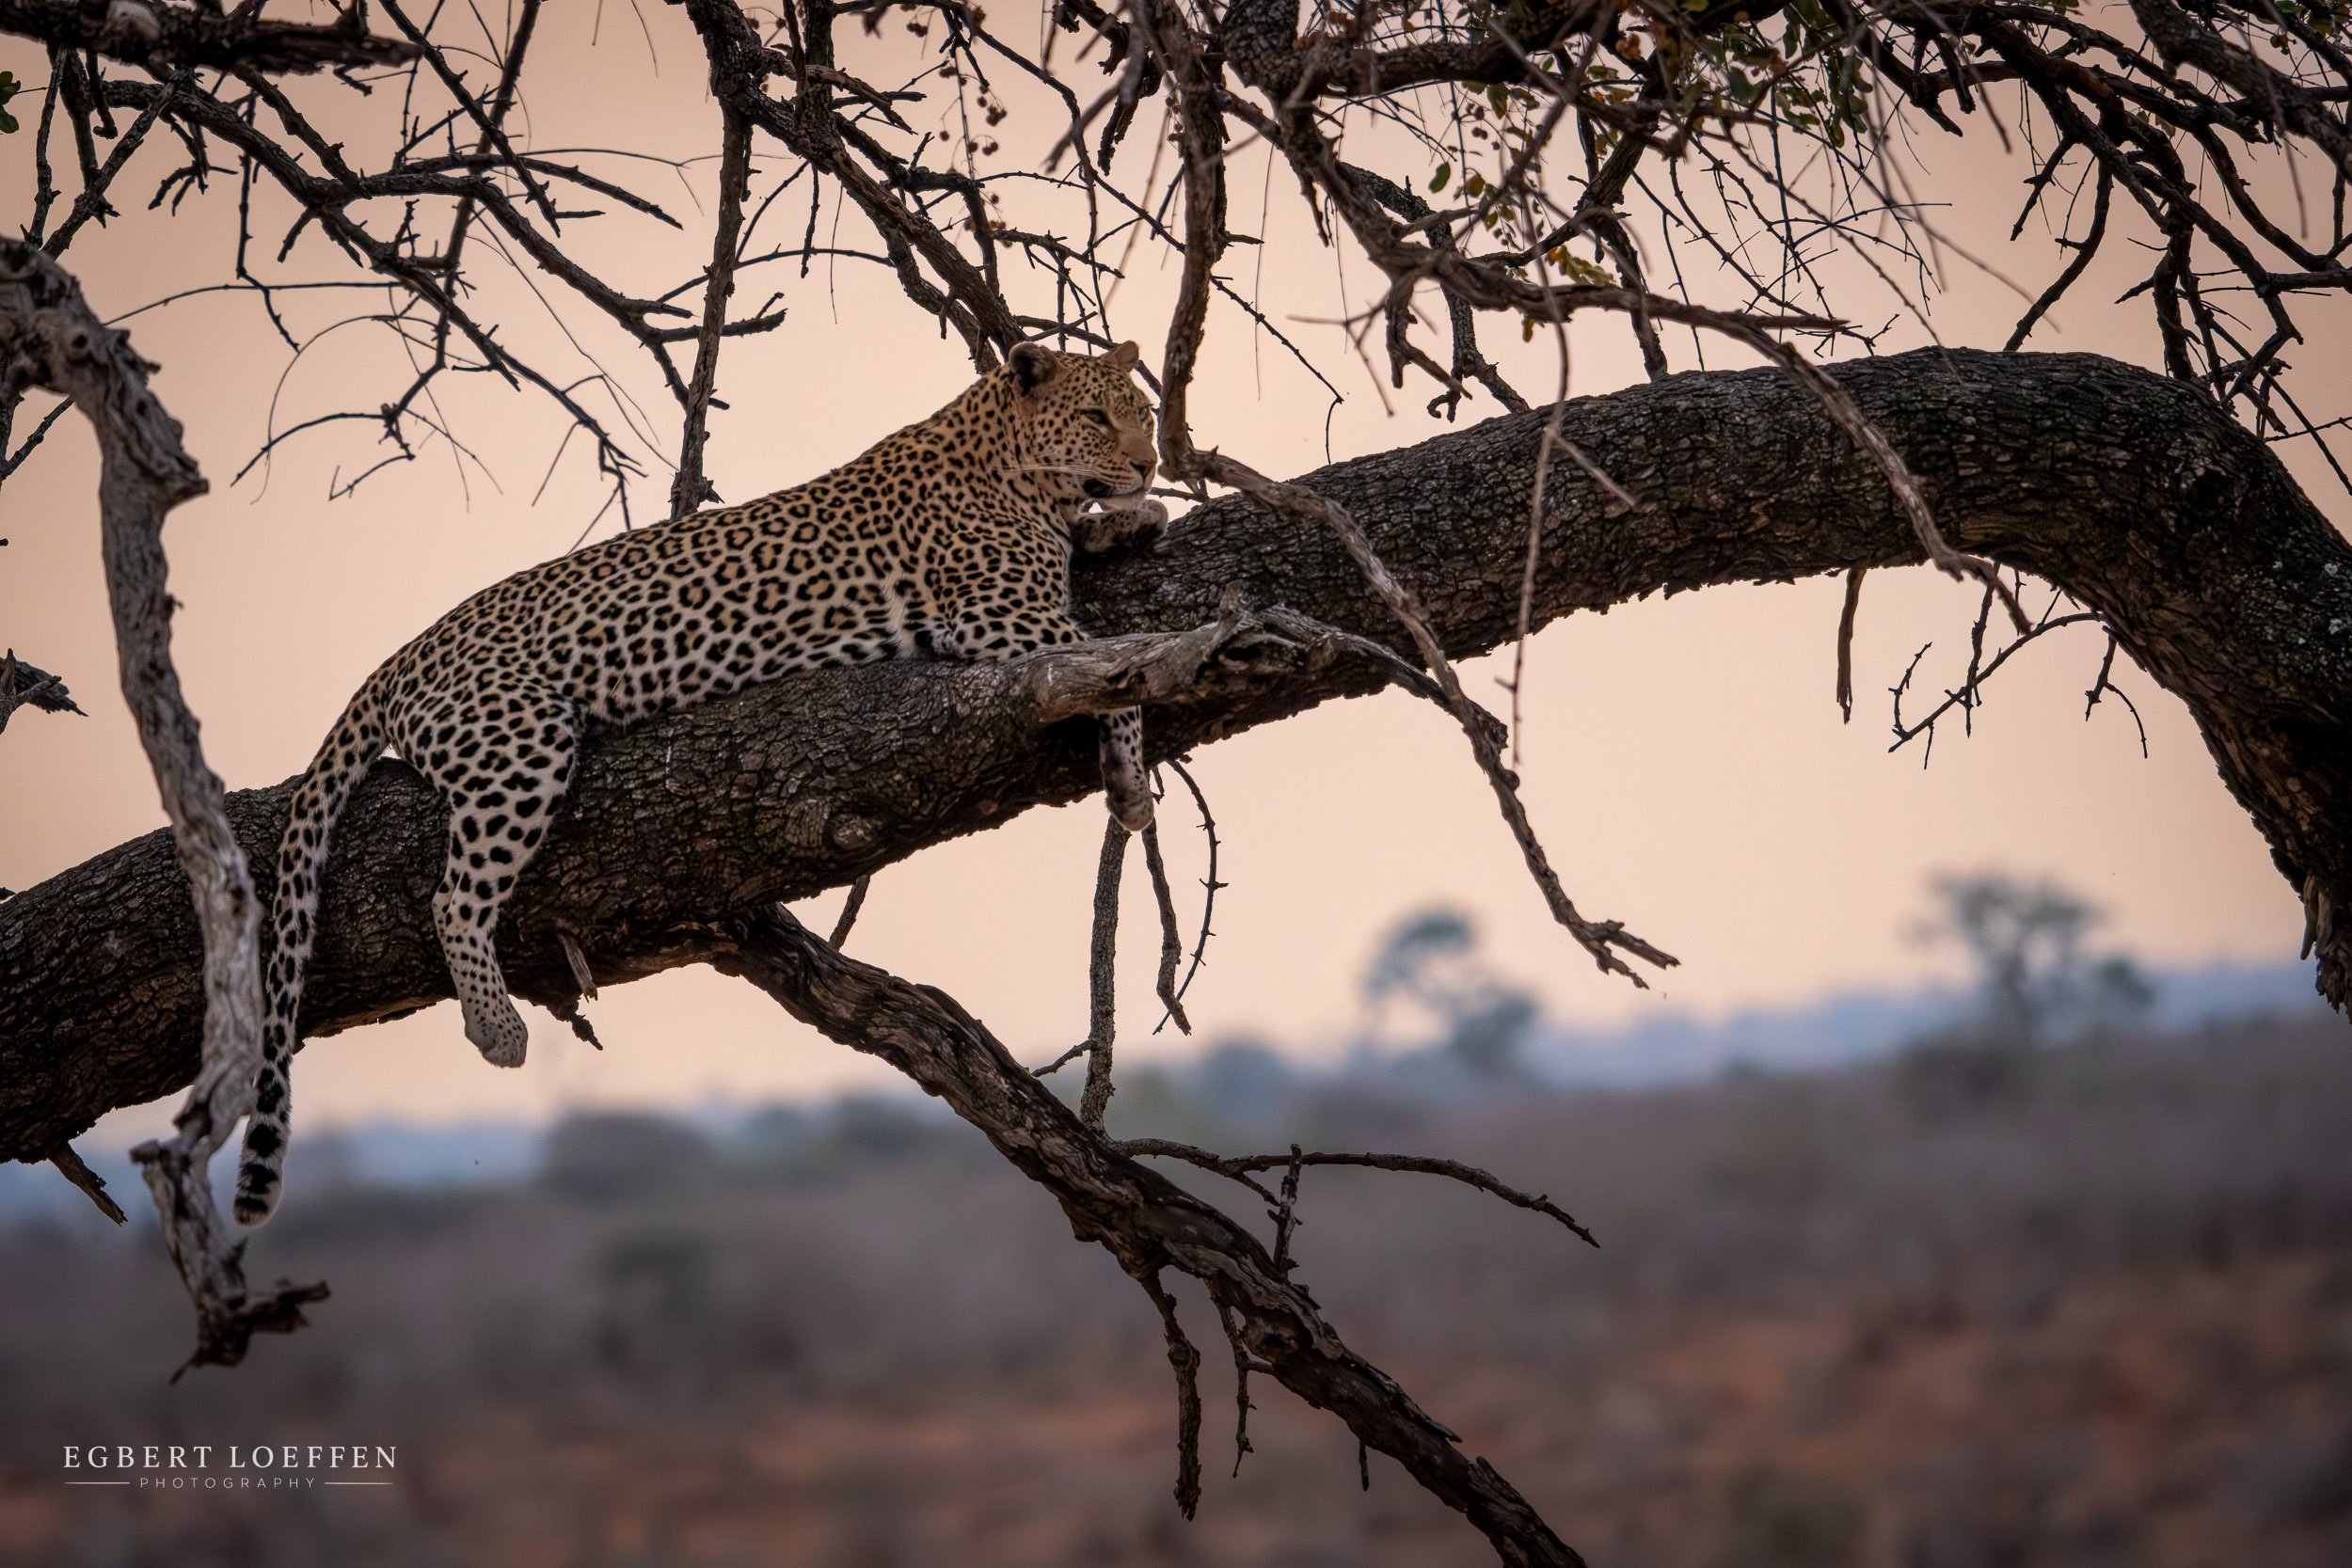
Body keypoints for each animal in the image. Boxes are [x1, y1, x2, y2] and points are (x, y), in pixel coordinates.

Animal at [232, 340, 1165, 1225]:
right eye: (1095, 415)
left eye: (1147, 414)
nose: (1153, 462)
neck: (1014, 464)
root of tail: (403, 652)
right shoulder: (999, 615)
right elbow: (1119, 662)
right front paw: (1130, 783)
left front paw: (1140, 519)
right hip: (520, 744)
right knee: (452, 896)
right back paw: (496, 1025)